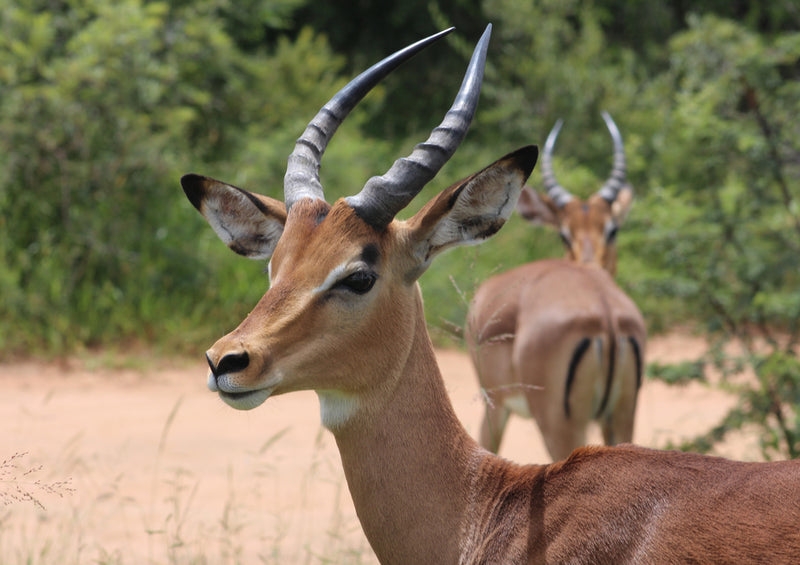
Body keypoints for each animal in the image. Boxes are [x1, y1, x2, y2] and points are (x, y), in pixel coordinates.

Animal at [466, 114, 648, 462]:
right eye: (565, 232)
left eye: (612, 229)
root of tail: (606, 314)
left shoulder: (493, 404)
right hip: (622, 417)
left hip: (560, 425)